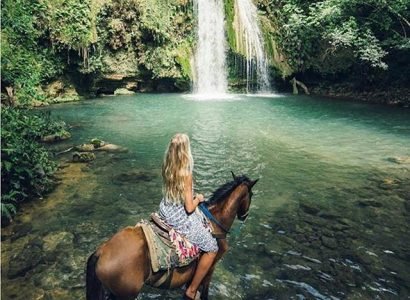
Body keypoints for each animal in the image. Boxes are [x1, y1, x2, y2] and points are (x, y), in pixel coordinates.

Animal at [85, 173, 260, 300]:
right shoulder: (210, 268)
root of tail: (101, 251)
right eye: (251, 194)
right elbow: (203, 293)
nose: (244, 215)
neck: (214, 224)